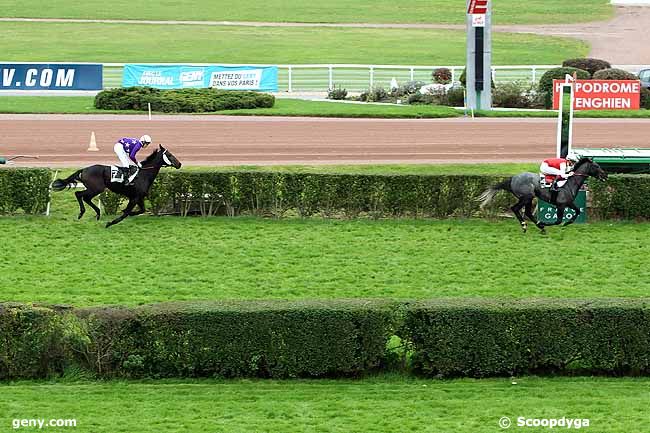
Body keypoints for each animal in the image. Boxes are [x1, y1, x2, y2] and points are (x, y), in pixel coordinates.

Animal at [51, 144, 180, 228]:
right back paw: (83, 212)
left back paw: (97, 213)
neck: (144, 174)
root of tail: (84, 169)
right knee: (79, 194)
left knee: (84, 197)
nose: (179, 164)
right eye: (169, 155)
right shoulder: (134, 198)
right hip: (96, 188)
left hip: (94, 189)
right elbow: (126, 213)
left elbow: (141, 210)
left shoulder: (139, 197)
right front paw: (110, 223)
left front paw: (129, 213)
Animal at [476, 157, 608, 233]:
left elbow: (577, 211)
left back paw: (540, 227)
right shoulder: (561, 204)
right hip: (526, 197)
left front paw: (567, 222)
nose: (605, 176)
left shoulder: (569, 203)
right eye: (596, 166)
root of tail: (513, 178)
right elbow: (558, 220)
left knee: (528, 212)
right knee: (515, 208)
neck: (570, 183)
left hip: (529, 198)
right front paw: (546, 223)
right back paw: (526, 226)